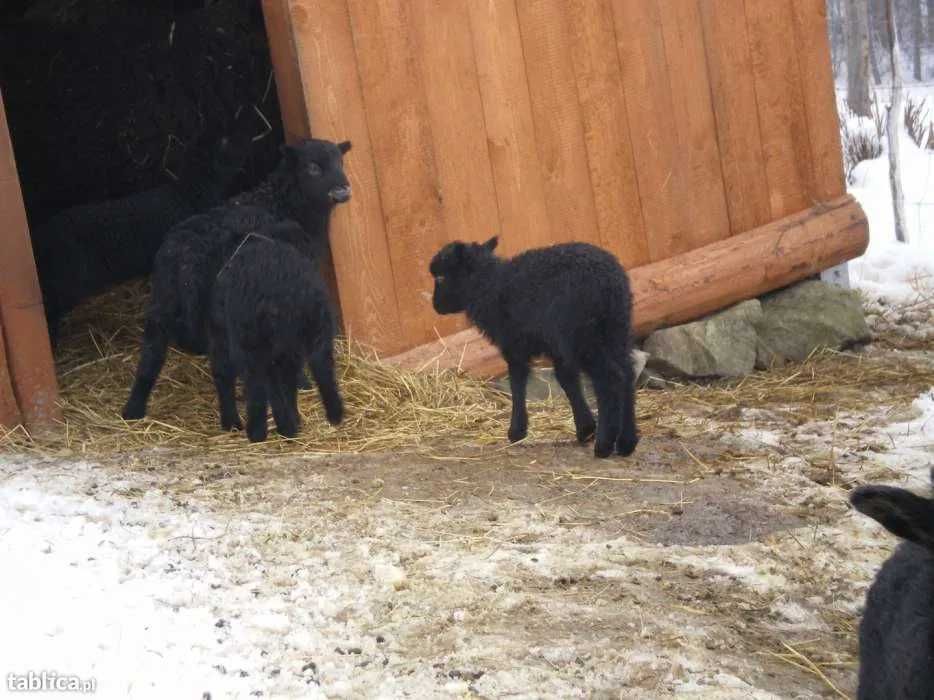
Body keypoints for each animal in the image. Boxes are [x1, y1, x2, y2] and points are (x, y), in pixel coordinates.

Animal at [209, 221, 344, 442]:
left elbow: (226, 376)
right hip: (315, 333)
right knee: (321, 370)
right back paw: (333, 414)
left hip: (255, 342)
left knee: (260, 383)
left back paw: (263, 431)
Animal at [430, 238, 636, 460]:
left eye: (441, 277)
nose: (436, 306)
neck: (491, 286)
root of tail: (609, 281)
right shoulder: (555, 347)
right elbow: (567, 381)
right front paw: (585, 428)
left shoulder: (515, 344)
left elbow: (517, 383)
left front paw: (516, 431)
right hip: (616, 328)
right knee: (627, 374)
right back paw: (627, 442)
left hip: (583, 334)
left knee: (610, 378)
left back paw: (604, 444)